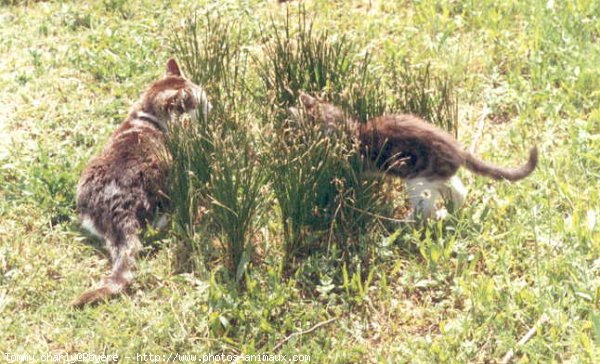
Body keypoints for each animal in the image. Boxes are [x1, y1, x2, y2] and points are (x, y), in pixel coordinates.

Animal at [296, 92, 540, 220]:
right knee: (458, 192)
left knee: (425, 210)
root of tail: (457, 148)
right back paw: (451, 213)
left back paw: (403, 222)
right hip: (437, 177)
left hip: (417, 181)